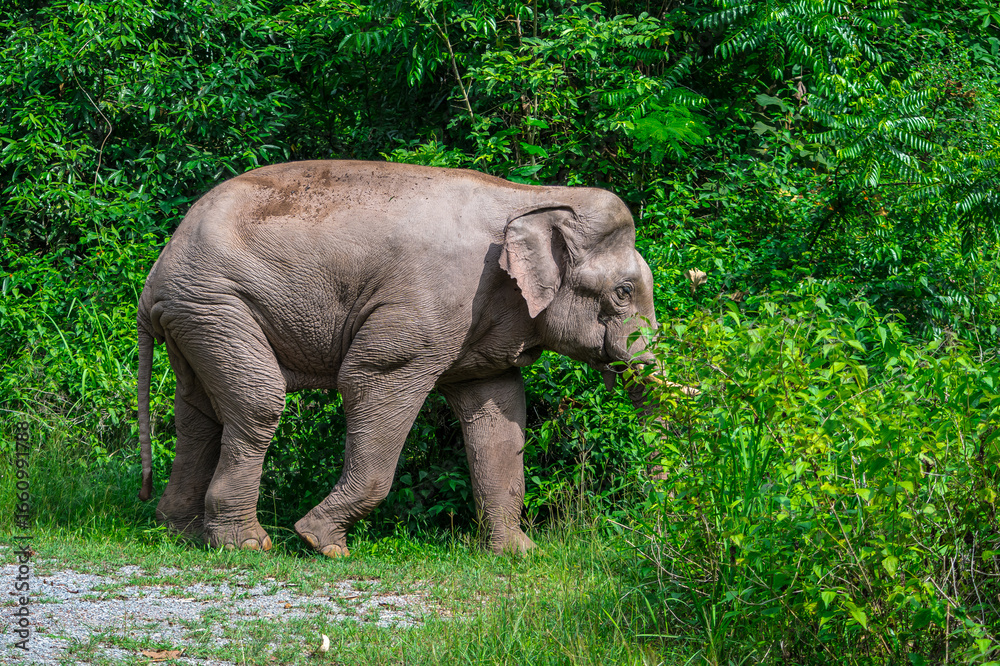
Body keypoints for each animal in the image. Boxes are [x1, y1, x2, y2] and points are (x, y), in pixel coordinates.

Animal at [136, 160, 659, 556]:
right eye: (623, 292)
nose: (646, 526)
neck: (532, 197)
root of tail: (156, 273)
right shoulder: (432, 303)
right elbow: (370, 379)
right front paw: (322, 543)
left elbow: (498, 411)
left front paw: (520, 555)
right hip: (215, 304)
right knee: (258, 403)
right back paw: (246, 545)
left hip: (196, 318)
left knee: (198, 413)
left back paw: (179, 532)